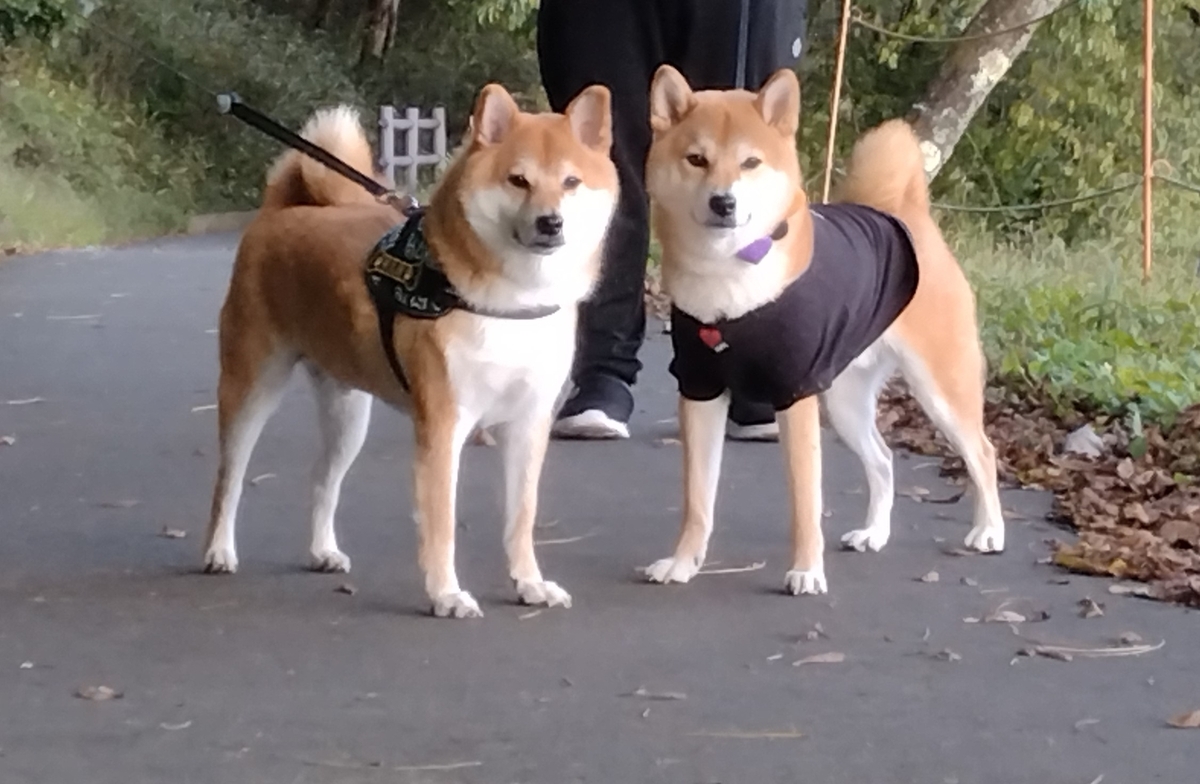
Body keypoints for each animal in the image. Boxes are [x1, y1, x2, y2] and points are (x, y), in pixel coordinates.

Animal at [201, 82, 618, 618]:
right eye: (518, 180)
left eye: (570, 181)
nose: (551, 223)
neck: (510, 300)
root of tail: (282, 210)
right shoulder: (443, 425)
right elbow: (441, 523)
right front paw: (446, 594)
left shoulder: (528, 425)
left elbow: (520, 519)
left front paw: (530, 584)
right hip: (252, 388)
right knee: (228, 480)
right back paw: (218, 551)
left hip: (347, 415)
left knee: (322, 480)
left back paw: (322, 551)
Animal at [641, 65, 1005, 596]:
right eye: (696, 159)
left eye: (750, 162)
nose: (723, 202)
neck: (727, 276)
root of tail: (902, 214)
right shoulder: (700, 390)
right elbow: (697, 500)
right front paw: (683, 562)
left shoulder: (795, 397)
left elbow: (805, 503)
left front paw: (807, 570)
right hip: (847, 401)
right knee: (883, 459)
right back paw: (874, 533)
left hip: (941, 391)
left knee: (982, 452)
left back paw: (989, 530)